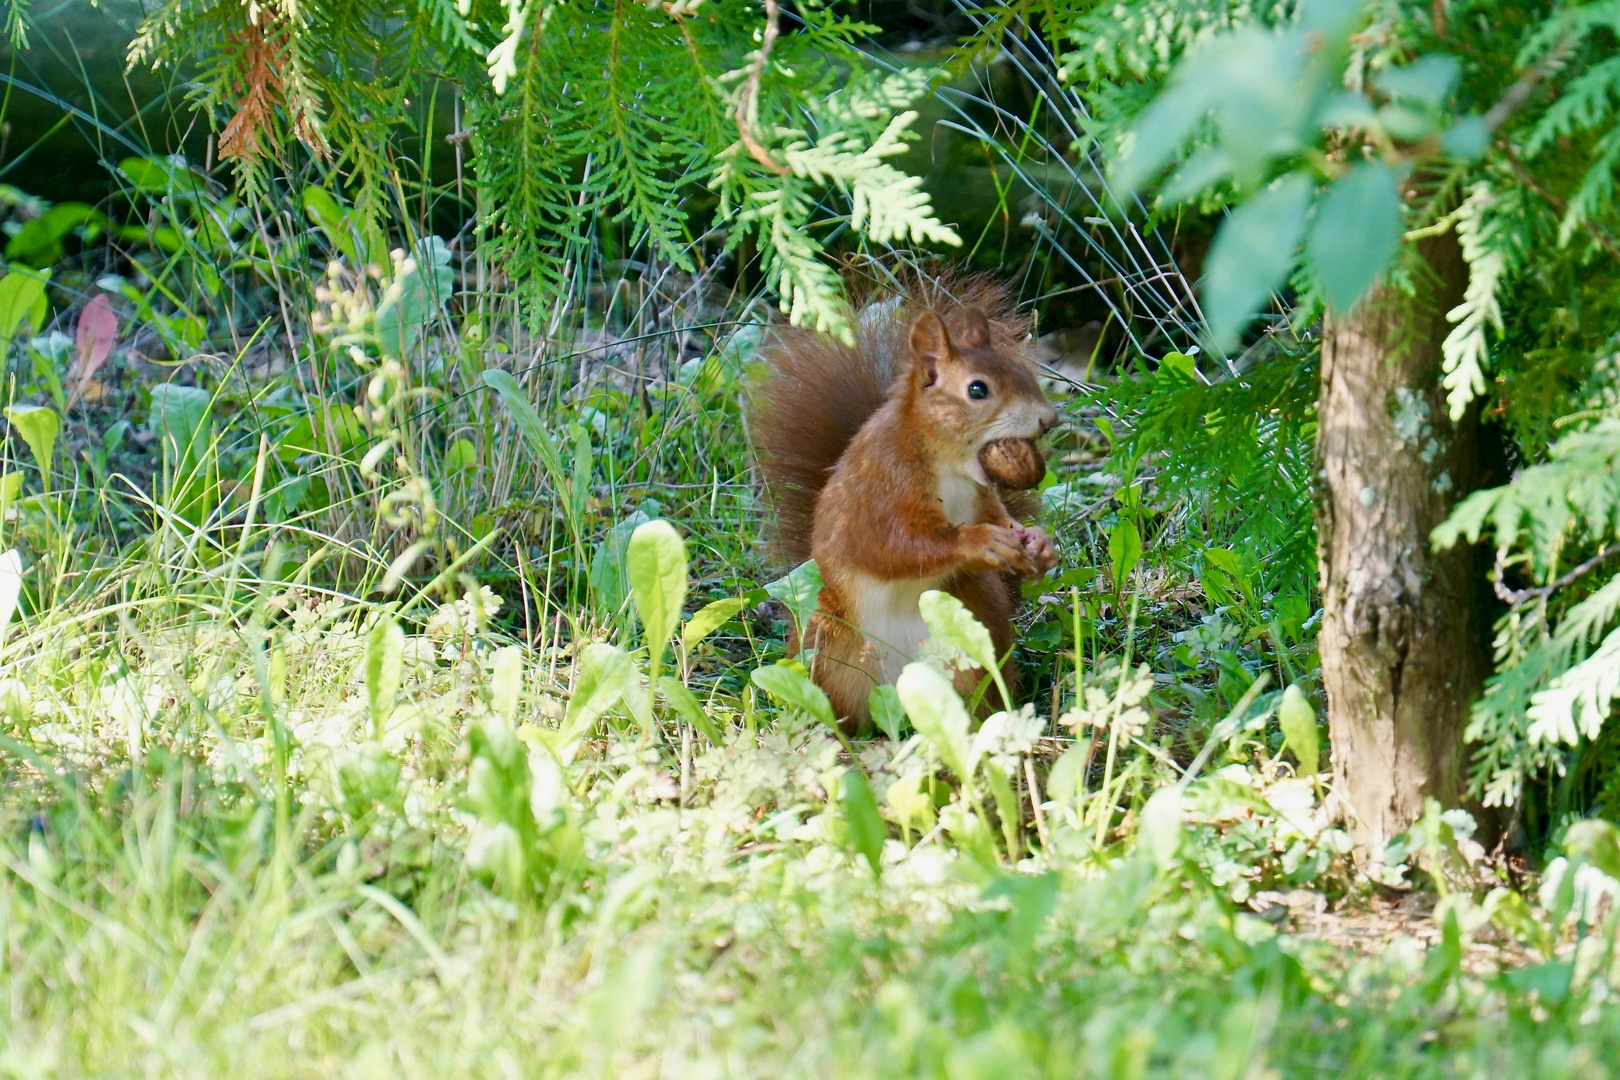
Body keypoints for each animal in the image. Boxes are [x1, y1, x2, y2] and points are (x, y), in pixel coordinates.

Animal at [748, 275, 1056, 731]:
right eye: (977, 389)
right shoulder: (882, 491)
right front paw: (980, 542)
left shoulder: (982, 496)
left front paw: (1038, 543)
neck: (950, 462)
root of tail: (899, 685)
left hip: (970, 645)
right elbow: (897, 548)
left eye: (1020, 371)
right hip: (830, 654)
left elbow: (999, 519)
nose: (1049, 419)